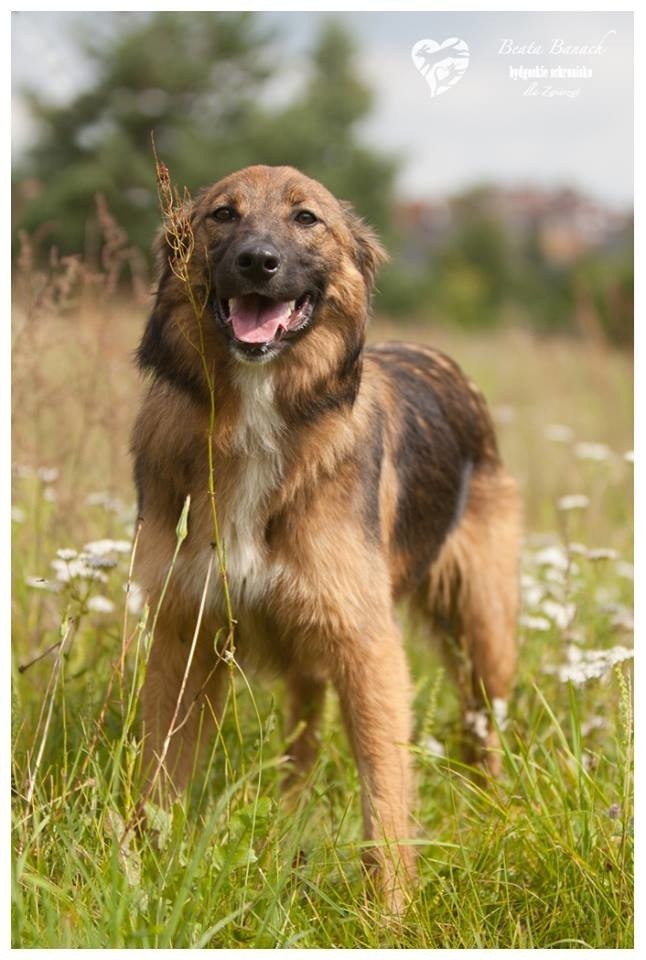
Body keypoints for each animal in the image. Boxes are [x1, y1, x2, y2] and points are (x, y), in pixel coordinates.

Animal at [132, 163, 520, 908]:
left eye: (306, 218)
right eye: (223, 214)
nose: (259, 261)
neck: (259, 415)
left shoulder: (367, 647)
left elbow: (385, 799)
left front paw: (390, 915)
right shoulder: (183, 632)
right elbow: (159, 779)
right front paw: (141, 872)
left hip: (483, 633)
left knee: (484, 729)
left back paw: (493, 810)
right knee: (302, 746)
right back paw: (289, 820)